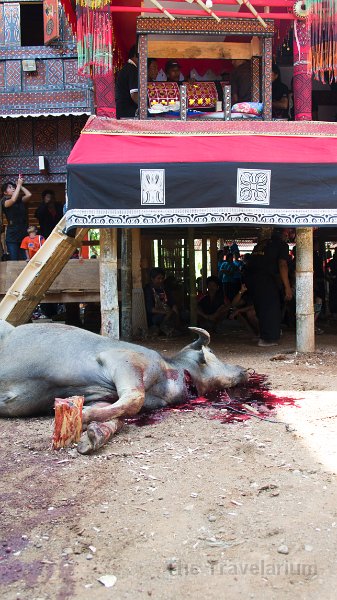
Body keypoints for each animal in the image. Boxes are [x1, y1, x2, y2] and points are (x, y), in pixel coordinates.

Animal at [0, 322, 247, 452]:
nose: (242, 369)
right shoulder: (123, 362)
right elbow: (134, 399)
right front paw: (85, 416)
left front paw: (90, 427)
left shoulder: (99, 397)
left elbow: (116, 410)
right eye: (212, 352)